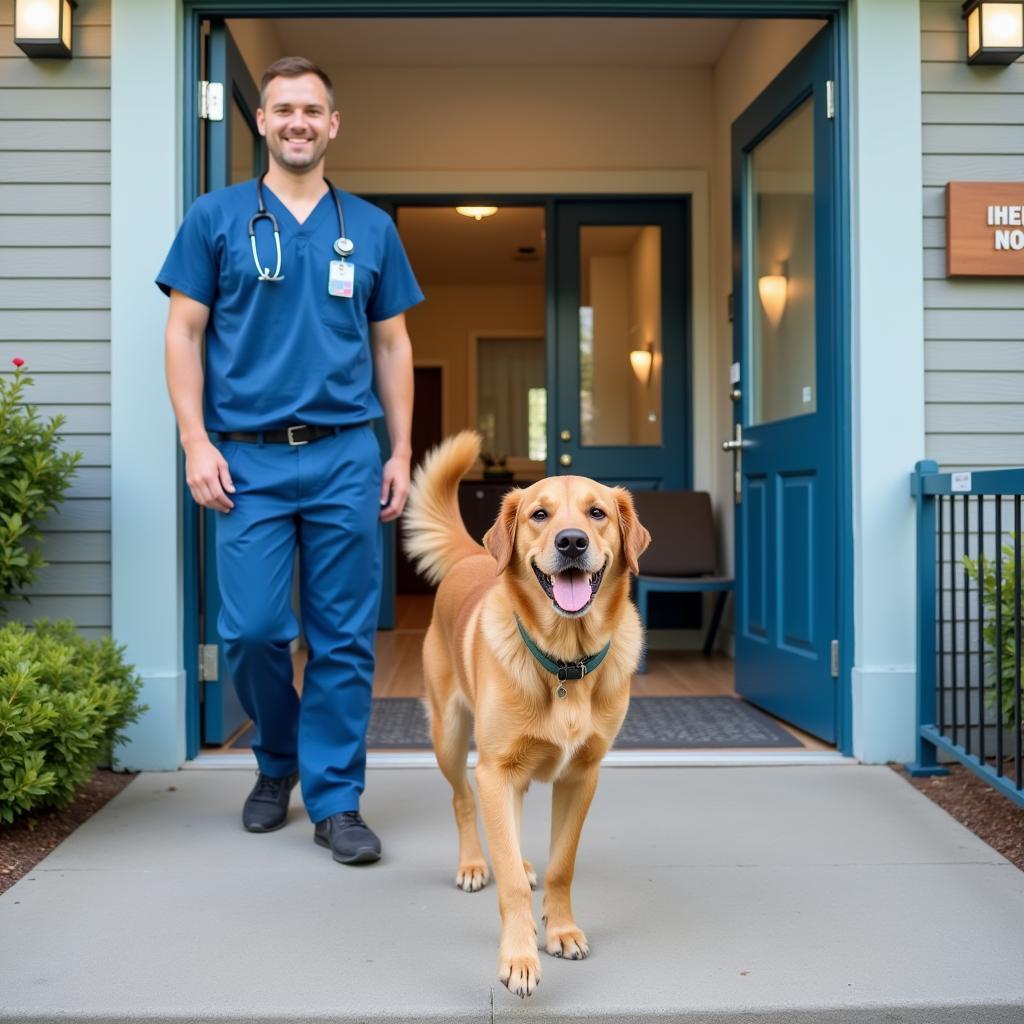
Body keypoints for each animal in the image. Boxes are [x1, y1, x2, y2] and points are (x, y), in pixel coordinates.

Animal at [399, 428, 647, 995]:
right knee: (464, 803)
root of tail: (474, 555)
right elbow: (508, 880)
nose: (572, 541)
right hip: (451, 739)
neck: (565, 663)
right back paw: (474, 863)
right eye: (539, 514)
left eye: (597, 512)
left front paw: (561, 930)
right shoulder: (495, 770)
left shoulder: (581, 776)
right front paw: (518, 956)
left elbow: (562, 865)